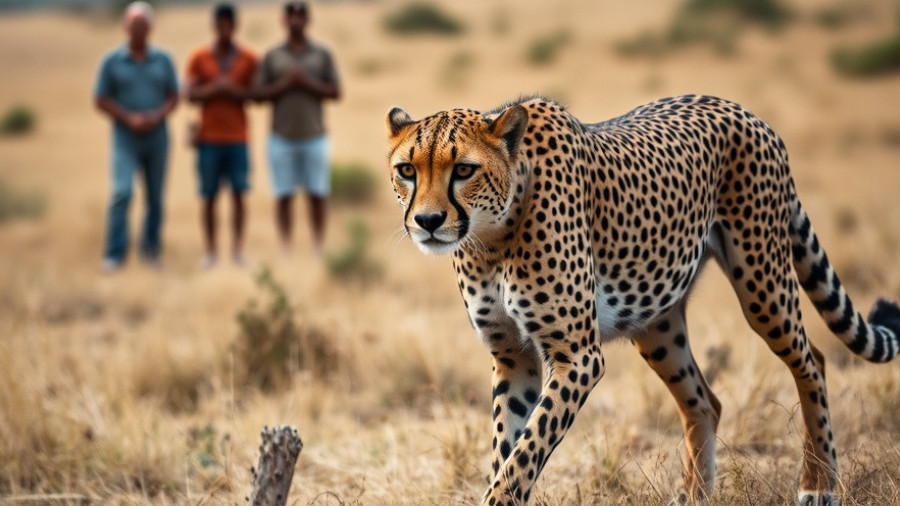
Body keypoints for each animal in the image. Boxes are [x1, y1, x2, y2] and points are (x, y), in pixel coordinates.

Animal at [384, 94, 900, 506]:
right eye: (407, 170)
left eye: (464, 170)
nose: (427, 221)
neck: (492, 236)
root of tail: (744, 111)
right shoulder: (513, 357)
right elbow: (507, 447)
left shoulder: (577, 356)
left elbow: (526, 452)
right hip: (657, 320)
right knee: (704, 402)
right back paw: (695, 498)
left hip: (762, 283)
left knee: (813, 361)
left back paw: (819, 483)